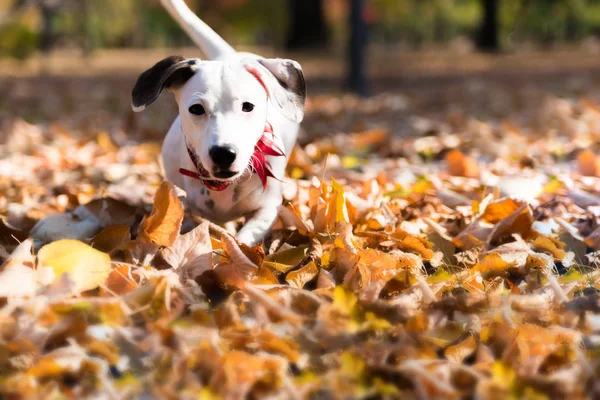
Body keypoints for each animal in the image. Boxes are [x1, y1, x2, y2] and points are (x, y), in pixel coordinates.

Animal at [134, 0, 308, 245]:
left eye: (248, 106)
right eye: (196, 109)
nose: (224, 153)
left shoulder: (267, 209)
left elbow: (244, 238)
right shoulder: (181, 204)